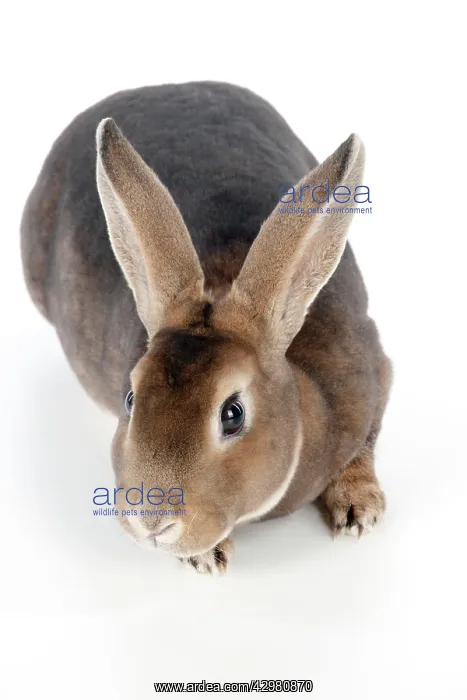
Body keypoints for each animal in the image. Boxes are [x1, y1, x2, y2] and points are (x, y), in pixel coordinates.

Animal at [21, 82, 392, 574]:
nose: (151, 521)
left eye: (232, 415)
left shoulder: (376, 375)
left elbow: (366, 443)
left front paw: (358, 510)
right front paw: (207, 557)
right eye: (130, 399)